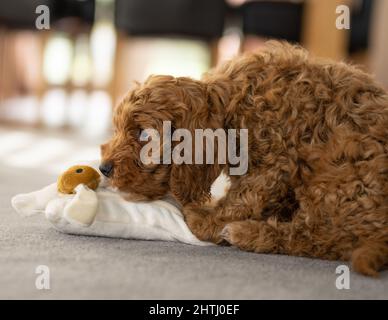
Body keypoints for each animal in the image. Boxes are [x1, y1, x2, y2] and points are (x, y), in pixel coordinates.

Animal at [101, 41, 388, 276]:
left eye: (144, 134)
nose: (104, 167)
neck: (232, 105)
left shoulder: (275, 162)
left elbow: (244, 197)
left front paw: (205, 220)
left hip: (337, 171)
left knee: (323, 237)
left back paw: (247, 233)